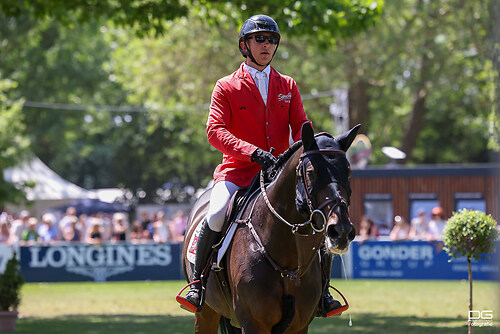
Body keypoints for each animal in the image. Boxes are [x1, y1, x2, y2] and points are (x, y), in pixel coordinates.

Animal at [180, 122, 360, 334]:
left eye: (348, 172)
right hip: (207, 312)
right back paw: (194, 293)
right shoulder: (254, 324)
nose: (341, 231)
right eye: (311, 172)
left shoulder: (299, 327)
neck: (288, 260)